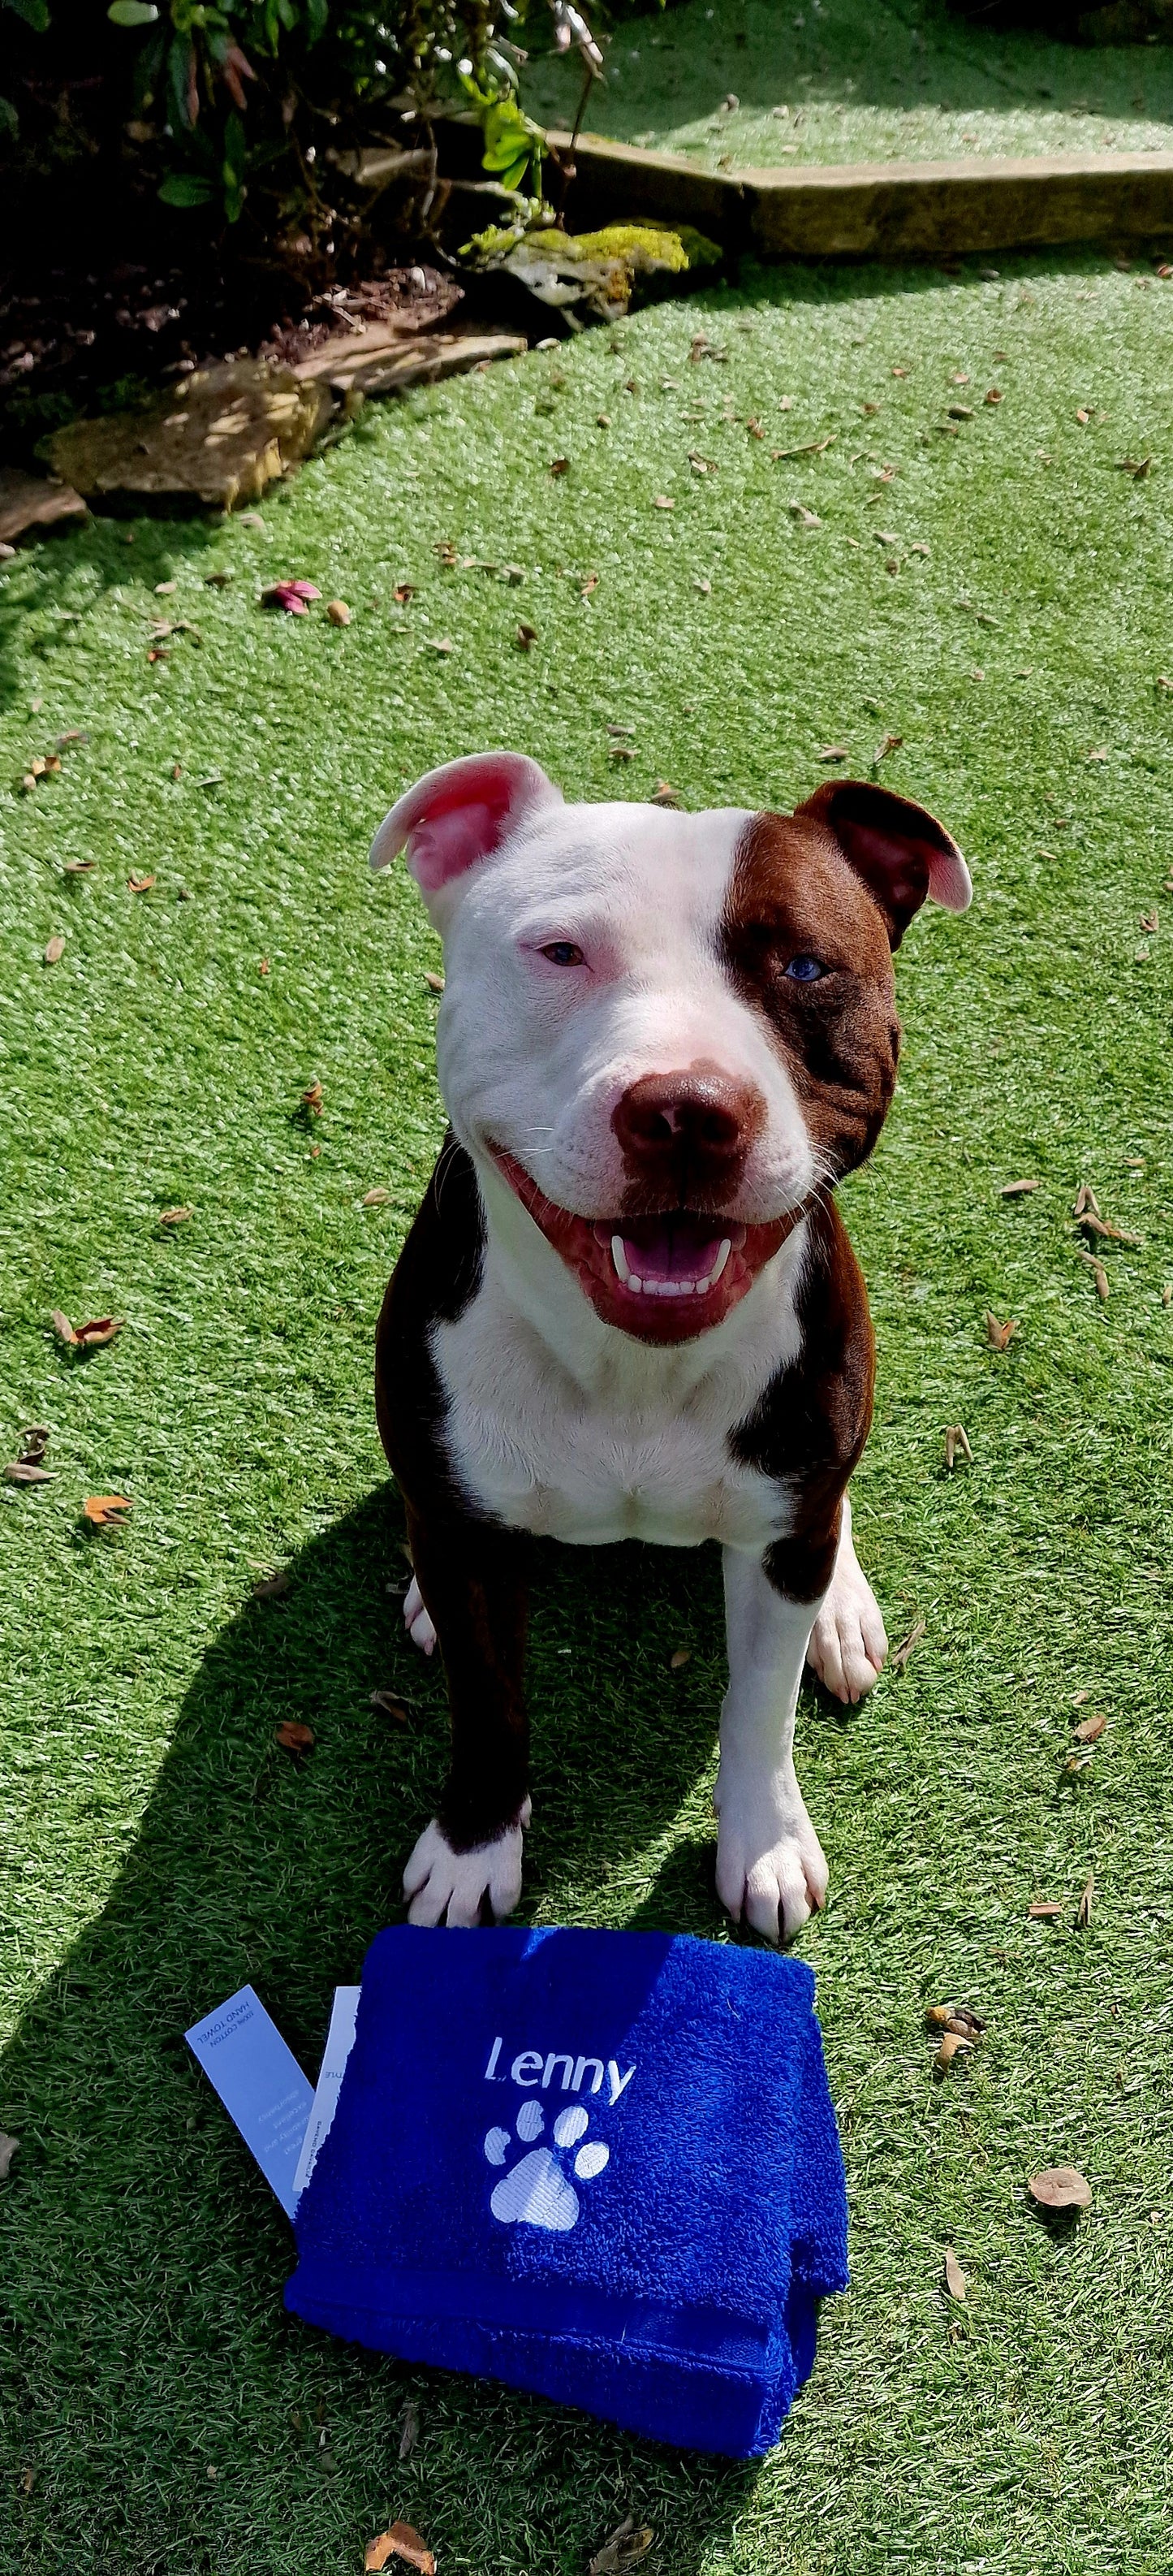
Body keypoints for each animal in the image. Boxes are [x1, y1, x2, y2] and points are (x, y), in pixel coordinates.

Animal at [368, 752, 972, 1937]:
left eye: (804, 966)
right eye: (561, 952)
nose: (688, 1109)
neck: (632, 1371)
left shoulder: (782, 1535)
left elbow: (757, 1710)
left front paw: (765, 1842)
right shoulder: (463, 1540)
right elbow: (488, 1704)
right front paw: (473, 1846)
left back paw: (841, 1611)